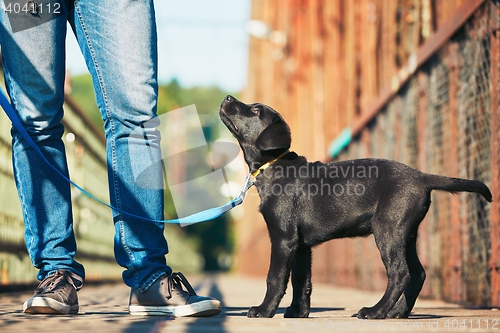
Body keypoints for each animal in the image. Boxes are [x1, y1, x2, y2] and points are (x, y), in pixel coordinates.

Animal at [220, 94, 492, 318]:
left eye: (255, 110)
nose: (228, 97)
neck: (273, 165)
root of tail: (422, 176)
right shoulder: (301, 245)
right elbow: (301, 281)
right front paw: (298, 312)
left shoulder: (283, 238)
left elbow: (275, 278)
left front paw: (264, 310)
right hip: (407, 233)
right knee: (417, 273)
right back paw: (397, 313)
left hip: (388, 230)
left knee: (400, 273)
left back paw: (375, 311)